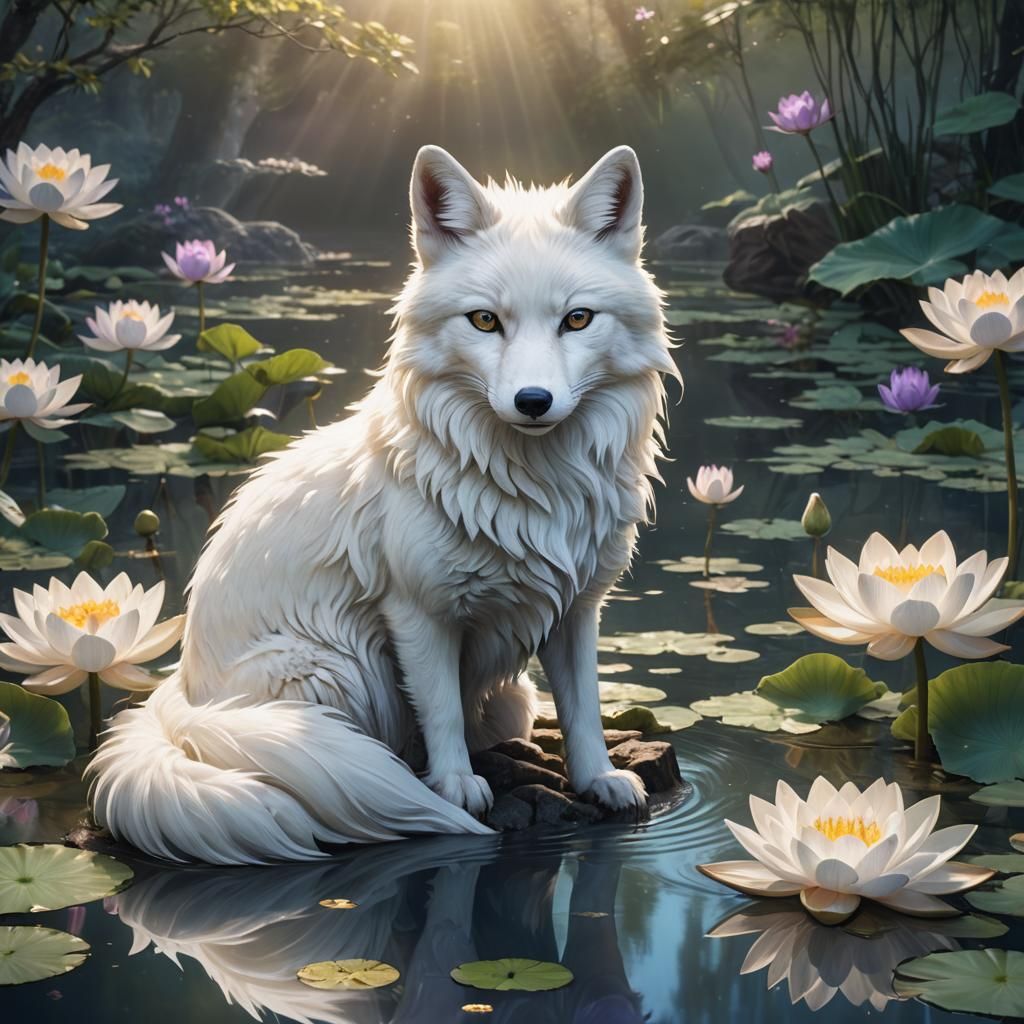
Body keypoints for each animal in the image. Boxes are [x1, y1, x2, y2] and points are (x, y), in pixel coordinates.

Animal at [89, 145, 681, 864]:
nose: (533, 401)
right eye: (485, 320)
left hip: (504, 696)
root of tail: (180, 692)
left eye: (577, 319)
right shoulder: (417, 612)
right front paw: (456, 789)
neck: (532, 486)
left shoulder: (575, 609)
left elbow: (585, 707)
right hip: (336, 669)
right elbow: (442, 709)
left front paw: (599, 780)